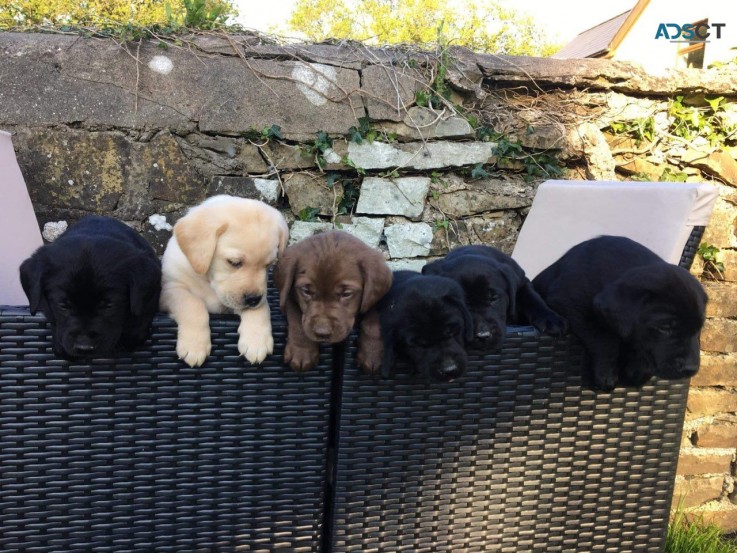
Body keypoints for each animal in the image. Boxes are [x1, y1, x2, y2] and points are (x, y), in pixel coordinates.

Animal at [19, 216, 161, 358]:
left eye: (109, 305)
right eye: (63, 305)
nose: (84, 347)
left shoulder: (150, 295)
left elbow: (139, 317)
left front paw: (129, 341)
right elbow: (54, 321)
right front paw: (62, 349)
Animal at [161, 194, 288, 366]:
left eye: (268, 265)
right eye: (234, 262)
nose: (253, 299)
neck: (208, 281)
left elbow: (262, 308)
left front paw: (256, 341)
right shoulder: (170, 289)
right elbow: (192, 304)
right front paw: (194, 346)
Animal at [422, 245, 568, 348]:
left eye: (493, 298)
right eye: (462, 305)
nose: (483, 336)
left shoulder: (522, 283)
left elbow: (532, 299)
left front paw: (551, 319)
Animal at [536, 235, 708, 390]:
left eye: (698, 329)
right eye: (665, 328)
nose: (690, 369)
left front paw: (638, 371)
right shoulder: (569, 302)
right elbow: (604, 339)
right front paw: (606, 375)